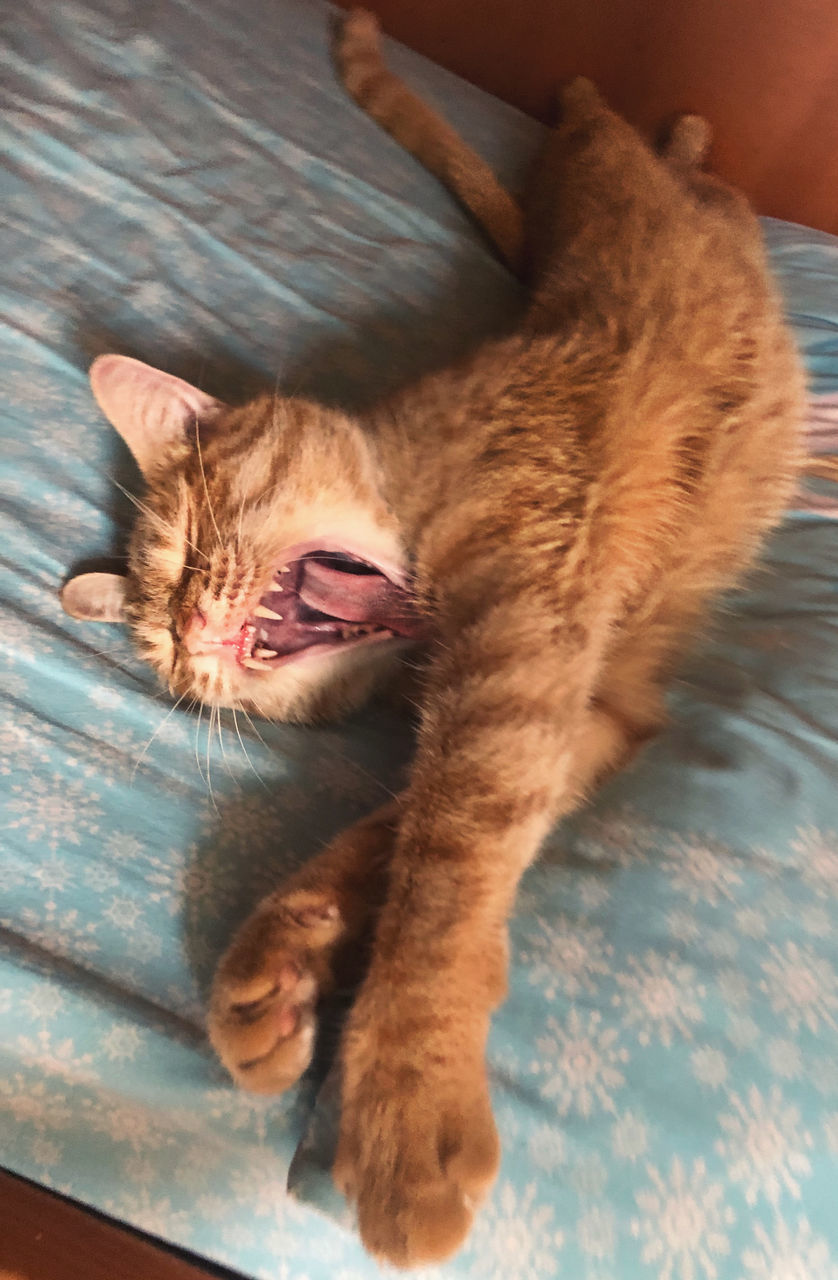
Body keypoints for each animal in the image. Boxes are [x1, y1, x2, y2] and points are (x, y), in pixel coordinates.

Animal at [60, 7, 808, 1269]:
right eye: (161, 646)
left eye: (194, 542)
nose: (195, 625)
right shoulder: (576, 710)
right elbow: (391, 840)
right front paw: (282, 960)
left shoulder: (516, 661)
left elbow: (444, 879)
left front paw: (405, 1096)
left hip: (623, 175)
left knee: (633, 142)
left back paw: (651, 116)